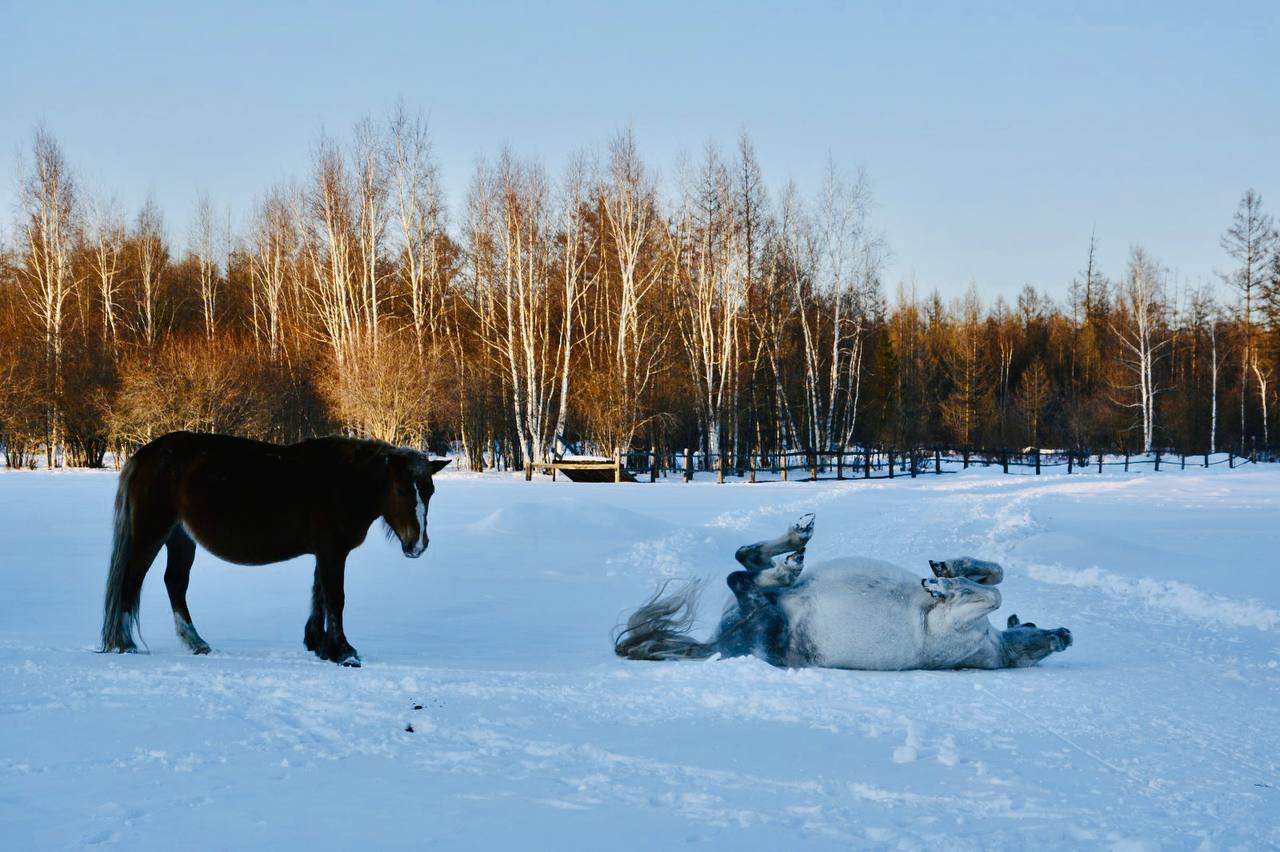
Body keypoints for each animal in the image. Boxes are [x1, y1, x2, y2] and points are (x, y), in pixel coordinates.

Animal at [99, 432, 450, 665]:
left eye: (430, 490)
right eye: (401, 489)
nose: (417, 544)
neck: (344, 481)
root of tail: (144, 456)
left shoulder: (325, 552)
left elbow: (319, 596)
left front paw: (319, 645)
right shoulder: (333, 551)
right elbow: (335, 599)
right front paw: (343, 652)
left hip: (180, 538)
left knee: (174, 582)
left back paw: (195, 641)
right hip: (152, 533)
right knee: (132, 580)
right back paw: (125, 643)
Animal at [614, 511, 1075, 670]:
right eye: (1033, 625)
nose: (1065, 635)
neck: (997, 648)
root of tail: (720, 645)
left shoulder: (952, 624)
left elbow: (993, 594)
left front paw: (942, 580)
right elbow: (994, 579)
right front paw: (948, 570)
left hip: (765, 622)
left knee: (742, 576)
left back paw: (788, 560)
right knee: (743, 566)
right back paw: (794, 544)